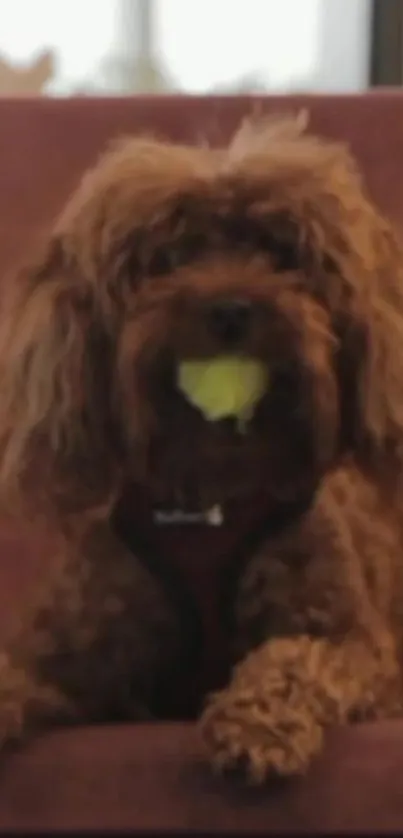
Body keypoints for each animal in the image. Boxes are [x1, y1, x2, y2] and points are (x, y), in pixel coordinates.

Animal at [0, 115, 403, 784]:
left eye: (280, 252)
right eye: (168, 258)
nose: (231, 309)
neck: (212, 487)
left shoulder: (360, 648)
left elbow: (296, 658)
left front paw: (255, 725)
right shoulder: (66, 657)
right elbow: (17, 673)